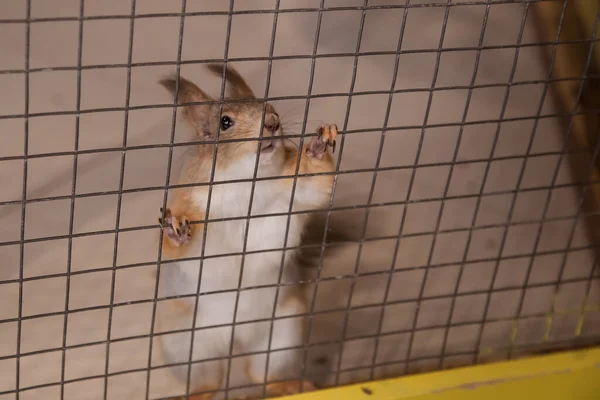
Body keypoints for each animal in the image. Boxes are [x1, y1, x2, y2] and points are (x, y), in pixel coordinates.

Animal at [157, 64, 340, 398]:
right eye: (225, 122)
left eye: (271, 107)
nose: (273, 123)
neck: (245, 181)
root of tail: (234, 340)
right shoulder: (192, 202)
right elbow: (183, 248)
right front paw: (176, 231)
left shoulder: (293, 189)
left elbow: (316, 185)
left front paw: (320, 146)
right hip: (185, 345)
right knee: (209, 381)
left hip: (281, 335)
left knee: (260, 374)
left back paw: (292, 385)